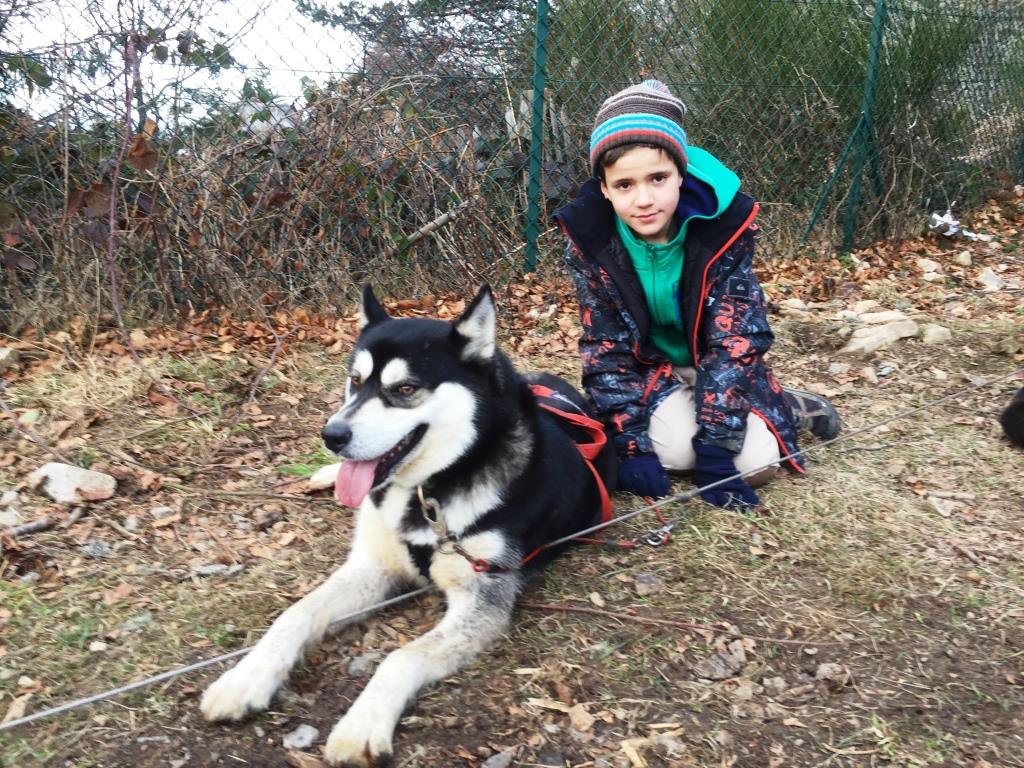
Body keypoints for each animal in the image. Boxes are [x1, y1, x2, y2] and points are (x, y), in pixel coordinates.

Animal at [200, 284, 615, 766]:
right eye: (356, 380)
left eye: (405, 389)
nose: (332, 436)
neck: (427, 492)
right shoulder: (372, 566)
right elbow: (294, 613)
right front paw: (244, 680)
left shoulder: (481, 598)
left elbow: (400, 656)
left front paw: (361, 726)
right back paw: (325, 476)